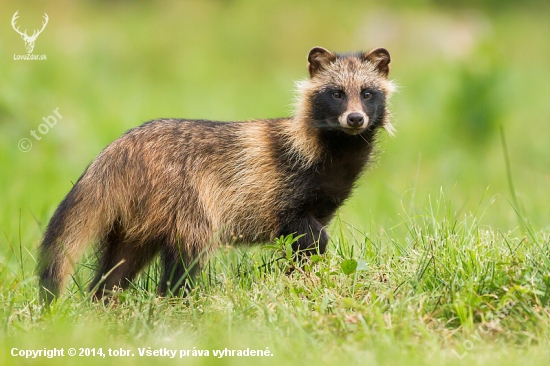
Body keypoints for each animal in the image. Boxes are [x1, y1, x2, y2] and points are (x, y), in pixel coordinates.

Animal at [37, 46, 396, 304]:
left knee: (117, 267)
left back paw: (103, 303)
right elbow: (309, 234)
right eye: (336, 93)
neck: (335, 152)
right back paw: (176, 301)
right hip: (182, 199)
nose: (355, 119)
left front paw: (302, 274)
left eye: (367, 93)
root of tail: (114, 155)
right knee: (185, 258)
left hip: (134, 222)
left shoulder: (321, 201)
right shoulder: (278, 190)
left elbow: (307, 245)